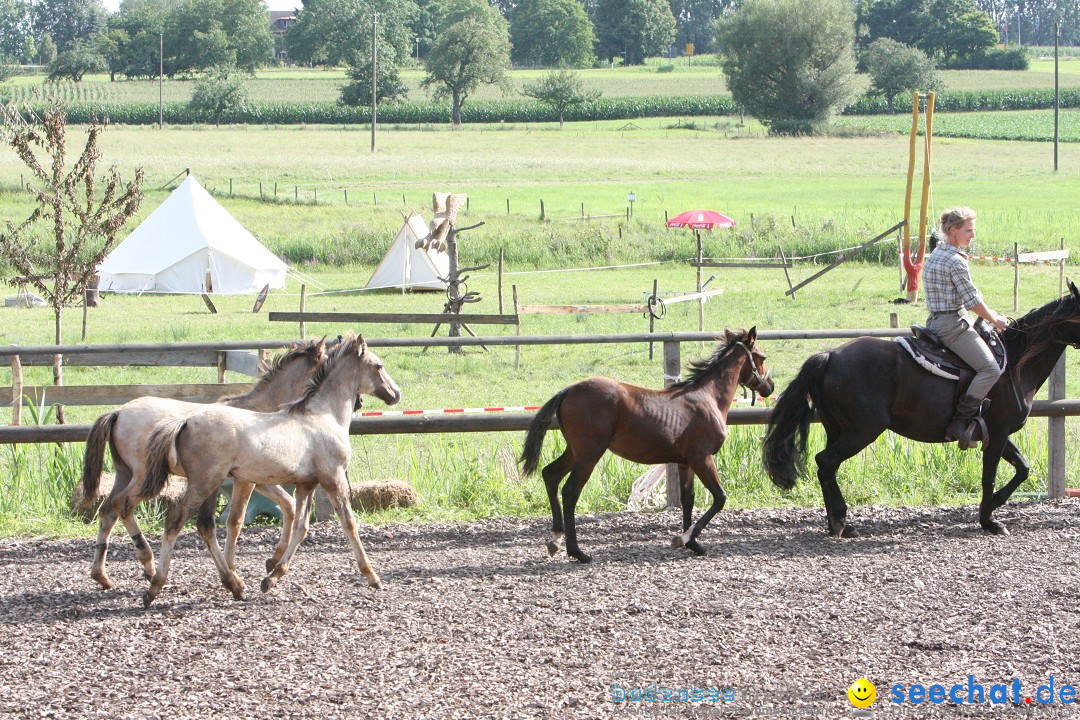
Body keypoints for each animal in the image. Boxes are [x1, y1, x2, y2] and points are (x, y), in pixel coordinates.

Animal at [83, 338, 324, 591]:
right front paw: (234, 571)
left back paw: (103, 575)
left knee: (108, 510)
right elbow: (235, 521)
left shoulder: (259, 479)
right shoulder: (246, 481)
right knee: (123, 505)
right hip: (144, 477)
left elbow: (287, 504)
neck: (261, 414)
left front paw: (272, 561)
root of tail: (118, 412)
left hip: (124, 473)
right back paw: (148, 565)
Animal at [141, 334, 399, 608]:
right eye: (379, 366)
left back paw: (233, 585)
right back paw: (155, 587)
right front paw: (372, 577)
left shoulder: (306, 484)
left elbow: (300, 526)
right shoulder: (333, 478)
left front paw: (272, 577)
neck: (324, 416)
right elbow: (349, 523)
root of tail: (185, 421)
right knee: (175, 520)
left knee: (204, 525)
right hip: (204, 482)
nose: (396, 394)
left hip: (210, 484)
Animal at [518, 325, 773, 561]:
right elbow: (720, 497)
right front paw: (683, 538)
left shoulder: (685, 462)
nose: (769, 386)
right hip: (589, 453)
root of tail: (569, 390)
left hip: (575, 451)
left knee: (550, 474)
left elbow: (688, 499)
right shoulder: (702, 458)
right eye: (762, 357)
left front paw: (693, 544)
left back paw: (555, 538)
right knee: (570, 491)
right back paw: (578, 552)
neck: (708, 398)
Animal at [760, 280, 1080, 539]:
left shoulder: (997, 433)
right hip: (861, 431)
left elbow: (1023, 468)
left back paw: (838, 523)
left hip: (836, 428)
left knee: (828, 467)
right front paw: (989, 520)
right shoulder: (998, 432)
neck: (1014, 362)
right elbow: (990, 476)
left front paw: (995, 505)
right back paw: (840, 521)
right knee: (825, 461)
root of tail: (829, 355)